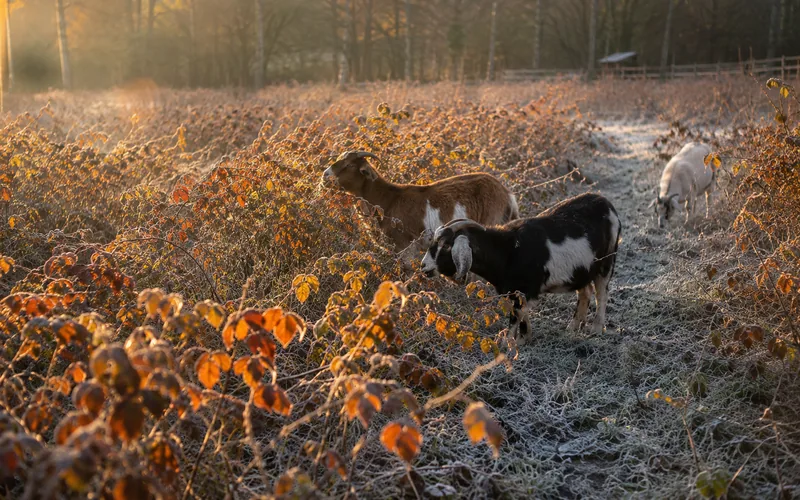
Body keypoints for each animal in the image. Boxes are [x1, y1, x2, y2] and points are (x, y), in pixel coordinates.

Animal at [420, 193, 621, 343]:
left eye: (446, 245)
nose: (424, 266)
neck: (507, 250)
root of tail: (606, 203)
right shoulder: (514, 292)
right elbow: (521, 316)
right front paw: (525, 339)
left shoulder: (526, 291)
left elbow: (515, 318)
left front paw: (507, 345)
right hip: (582, 270)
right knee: (585, 292)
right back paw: (573, 327)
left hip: (607, 261)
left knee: (601, 293)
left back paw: (596, 329)